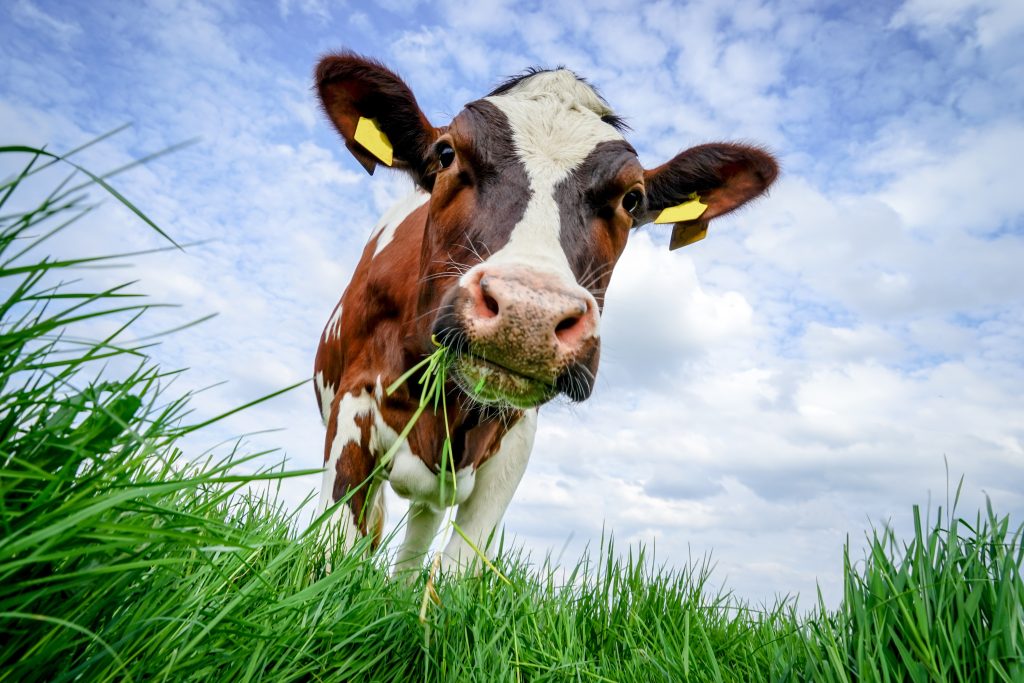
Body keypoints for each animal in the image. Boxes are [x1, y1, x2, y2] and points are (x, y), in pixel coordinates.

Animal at [312, 52, 778, 575]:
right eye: (447, 154)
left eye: (631, 198)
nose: (527, 315)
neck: (449, 407)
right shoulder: (353, 405)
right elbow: (336, 549)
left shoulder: (515, 440)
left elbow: (457, 569)